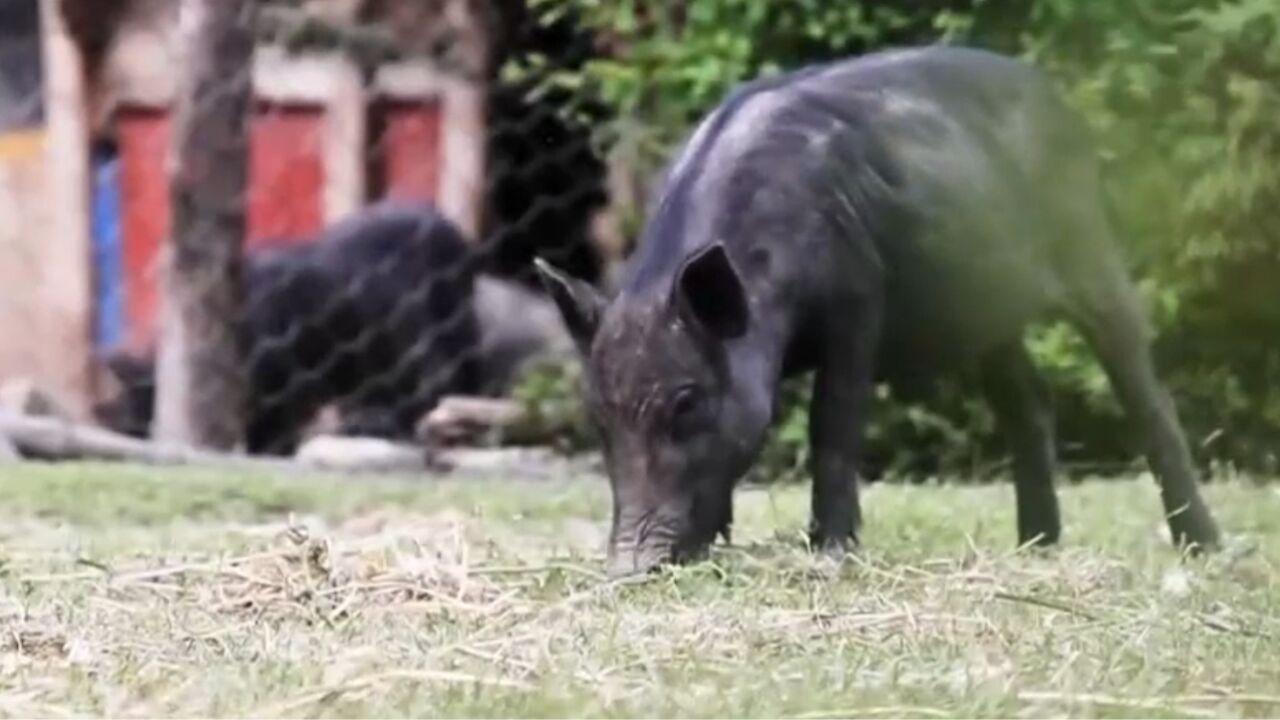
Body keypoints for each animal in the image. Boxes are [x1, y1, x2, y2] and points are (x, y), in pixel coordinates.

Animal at [537, 44, 1218, 573]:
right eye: (597, 414)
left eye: (685, 402)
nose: (628, 568)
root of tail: (1056, 99)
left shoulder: (857, 298)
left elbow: (832, 421)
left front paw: (830, 554)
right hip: (987, 316)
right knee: (1029, 401)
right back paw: (1035, 548)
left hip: (1091, 245)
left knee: (1143, 388)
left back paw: (1202, 548)